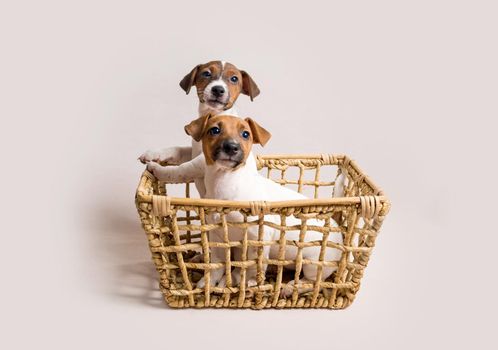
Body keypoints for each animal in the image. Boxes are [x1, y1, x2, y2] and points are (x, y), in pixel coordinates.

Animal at [138, 60, 258, 197]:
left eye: (234, 78)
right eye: (206, 73)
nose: (218, 89)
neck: (213, 114)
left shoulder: (203, 159)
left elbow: (182, 169)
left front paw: (158, 169)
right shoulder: (194, 150)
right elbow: (178, 150)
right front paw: (153, 154)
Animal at [146, 114, 344, 296]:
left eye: (246, 134)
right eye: (214, 130)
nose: (231, 147)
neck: (225, 181)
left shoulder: (258, 237)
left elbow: (249, 267)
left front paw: (244, 283)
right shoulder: (217, 236)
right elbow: (218, 264)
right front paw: (208, 282)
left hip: (313, 263)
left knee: (312, 281)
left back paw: (289, 288)